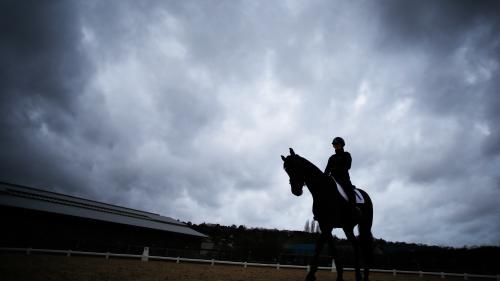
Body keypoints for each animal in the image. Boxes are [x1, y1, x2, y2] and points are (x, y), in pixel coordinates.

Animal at [280, 148, 374, 278]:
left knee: (365, 247)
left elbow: (319, 245)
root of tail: (366, 195)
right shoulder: (324, 224)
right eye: (287, 170)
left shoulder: (328, 224)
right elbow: (331, 248)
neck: (323, 189)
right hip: (347, 227)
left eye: (296, 166)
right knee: (356, 244)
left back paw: (364, 276)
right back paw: (358, 275)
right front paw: (339, 274)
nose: (296, 191)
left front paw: (310, 275)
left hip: (365, 225)